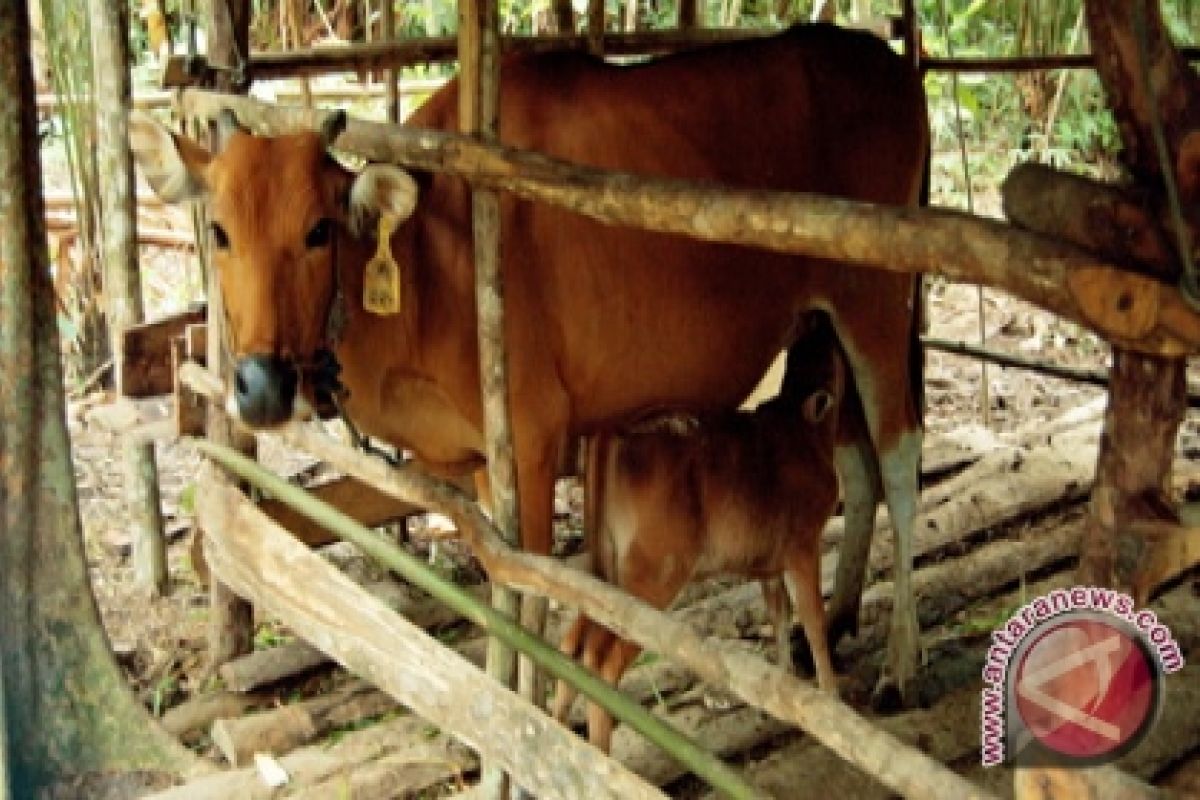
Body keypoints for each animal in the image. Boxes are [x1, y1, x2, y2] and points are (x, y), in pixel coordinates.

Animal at [133, 23, 936, 700]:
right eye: (219, 230)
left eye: (318, 230)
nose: (262, 386)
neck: (431, 257)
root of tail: (886, 59)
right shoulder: (485, 465)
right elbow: (506, 594)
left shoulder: (532, 438)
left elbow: (539, 599)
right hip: (821, 319)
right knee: (855, 459)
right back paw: (837, 617)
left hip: (876, 295)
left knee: (900, 456)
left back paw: (900, 662)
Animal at [552, 316, 844, 753]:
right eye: (824, 354)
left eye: (804, 348)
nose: (820, 319)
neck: (802, 429)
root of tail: (611, 430)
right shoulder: (802, 545)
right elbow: (813, 622)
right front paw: (832, 700)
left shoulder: (769, 560)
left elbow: (779, 615)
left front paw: (782, 694)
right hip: (652, 573)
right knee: (602, 660)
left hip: (606, 572)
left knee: (573, 643)